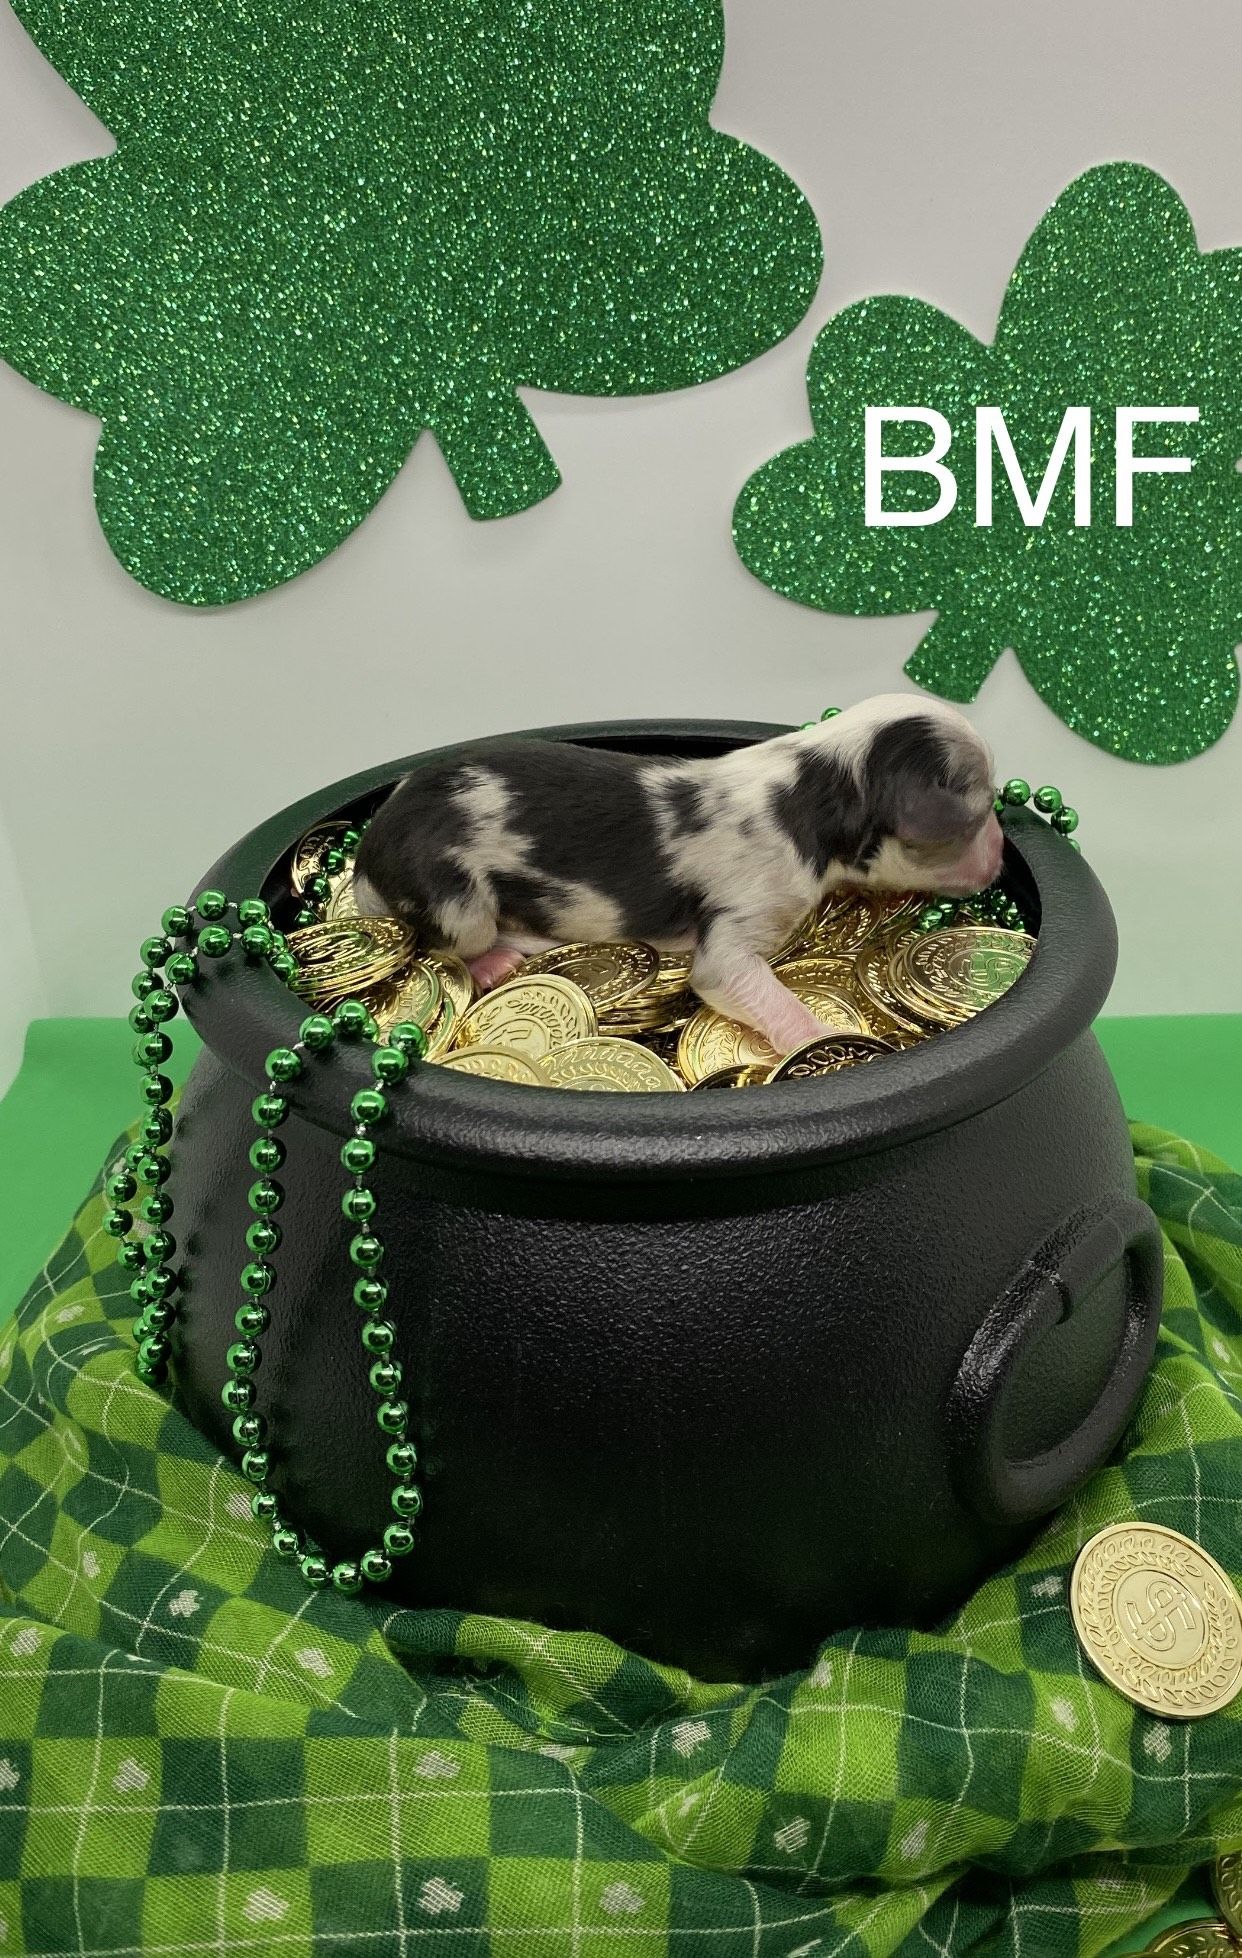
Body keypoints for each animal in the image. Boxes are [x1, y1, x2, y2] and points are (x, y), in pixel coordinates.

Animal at [353, 694, 1003, 1055]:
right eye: (977, 813)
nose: (1000, 855)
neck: (814, 789)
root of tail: (368, 855)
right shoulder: (739, 929)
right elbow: (745, 984)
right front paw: (818, 1037)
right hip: (456, 901)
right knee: (445, 944)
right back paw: (502, 959)